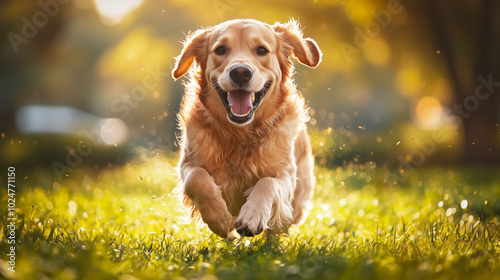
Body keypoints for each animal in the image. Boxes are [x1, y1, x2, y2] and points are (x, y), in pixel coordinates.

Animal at [172, 18, 320, 237]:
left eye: (261, 50)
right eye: (220, 49)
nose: (240, 73)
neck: (240, 135)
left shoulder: (285, 174)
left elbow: (267, 182)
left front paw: (253, 216)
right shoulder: (187, 163)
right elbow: (196, 177)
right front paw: (220, 219)